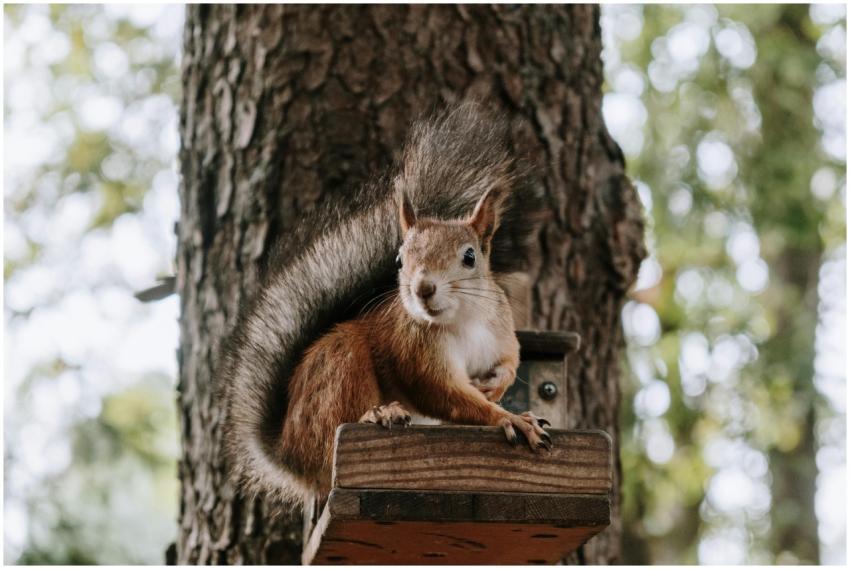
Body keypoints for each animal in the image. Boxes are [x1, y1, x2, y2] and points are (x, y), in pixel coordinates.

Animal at [220, 103, 546, 505]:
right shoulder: (414, 352)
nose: (423, 288)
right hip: (339, 367)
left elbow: (511, 362)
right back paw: (377, 416)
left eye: (470, 257)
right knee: (331, 436)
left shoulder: (500, 331)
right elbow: (444, 395)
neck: (462, 320)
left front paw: (496, 388)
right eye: (400, 260)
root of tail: (289, 454)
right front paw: (509, 418)